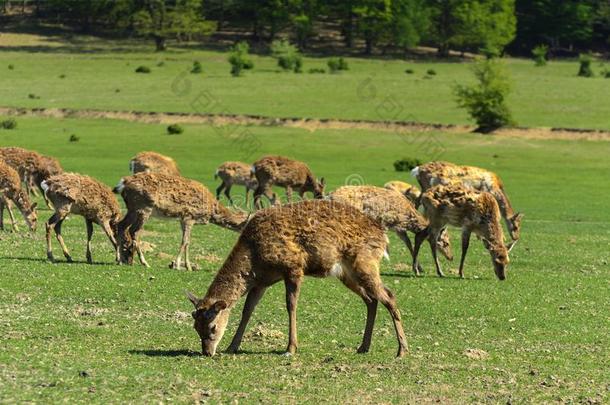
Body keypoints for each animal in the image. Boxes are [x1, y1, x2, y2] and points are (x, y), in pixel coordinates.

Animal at [114, 172, 247, 270]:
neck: (211, 210)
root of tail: (123, 183)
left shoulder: (183, 220)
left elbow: (188, 242)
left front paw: (188, 267)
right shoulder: (189, 217)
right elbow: (185, 241)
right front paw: (177, 264)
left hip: (132, 208)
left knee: (121, 225)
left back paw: (119, 260)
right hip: (144, 207)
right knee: (134, 231)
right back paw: (144, 262)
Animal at [183, 200, 406, 356]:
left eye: (212, 327)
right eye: (195, 327)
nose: (207, 352)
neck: (255, 258)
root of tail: (384, 236)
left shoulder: (293, 267)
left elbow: (291, 305)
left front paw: (290, 348)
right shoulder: (261, 282)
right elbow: (247, 311)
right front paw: (232, 346)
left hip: (365, 263)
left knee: (389, 296)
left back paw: (402, 350)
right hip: (346, 273)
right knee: (371, 300)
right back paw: (363, 347)